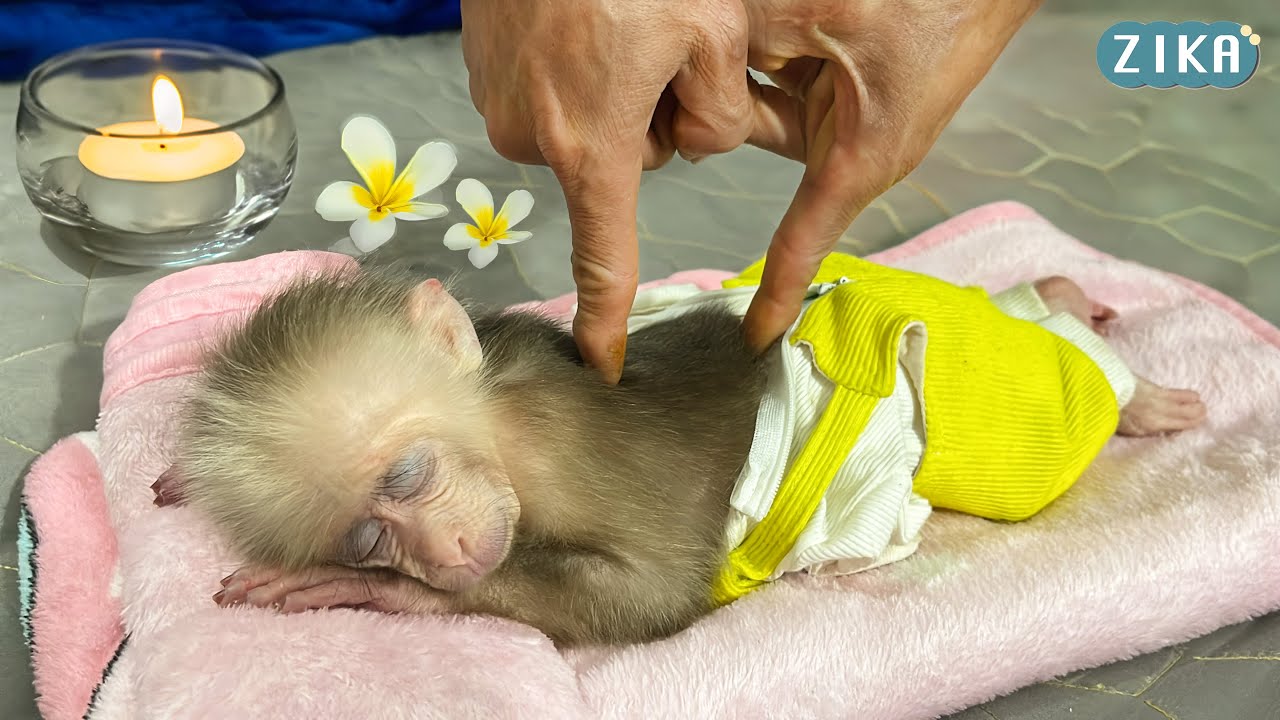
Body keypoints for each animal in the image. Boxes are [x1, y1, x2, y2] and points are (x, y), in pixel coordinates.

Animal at [153, 261, 1206, 647]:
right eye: (367, 532)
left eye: (408, 475)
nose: (441, 556)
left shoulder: (557, 445)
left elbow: (659, 594)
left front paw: (382, 599)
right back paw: (1062, 290)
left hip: (977, 401)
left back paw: (1128, 382)